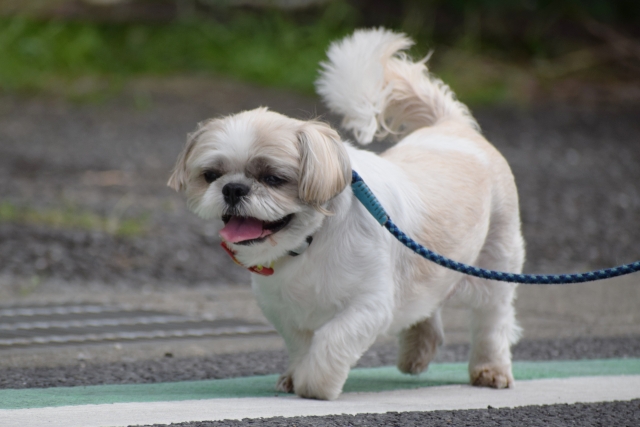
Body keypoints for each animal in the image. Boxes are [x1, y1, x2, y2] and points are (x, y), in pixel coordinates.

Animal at [170, 29, 524, 402]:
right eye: (211, 175)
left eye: (273, 178)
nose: (233, 188)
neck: (310, 242)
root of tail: (451, 127)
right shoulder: (283, 309)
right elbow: (301, 345)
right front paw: (295, 375)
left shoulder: (368, 306)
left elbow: (330, 342)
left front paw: (314, 386)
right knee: (427, 307)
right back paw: (417, 351)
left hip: (496, 260)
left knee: (492, 320)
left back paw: (491, 369)